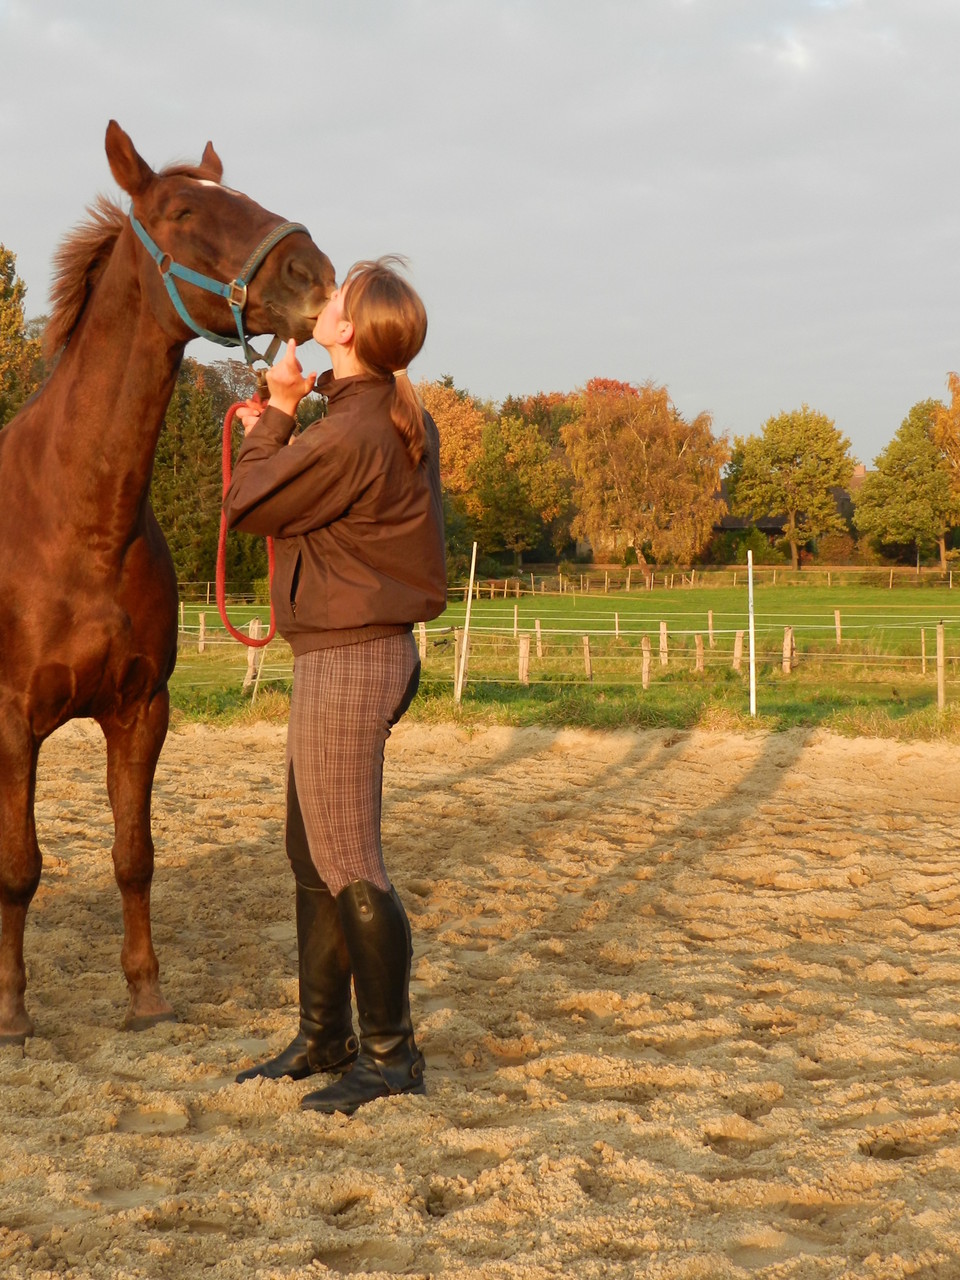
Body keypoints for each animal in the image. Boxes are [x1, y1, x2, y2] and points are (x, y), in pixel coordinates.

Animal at [0, 122, 337, 1039]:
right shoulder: (11, 720)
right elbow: (19, 865)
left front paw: (146, 996)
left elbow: (133, 855)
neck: (77, 522)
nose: (316, 274)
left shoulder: (141, 709)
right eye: (183, 212)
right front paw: (11, 1010)